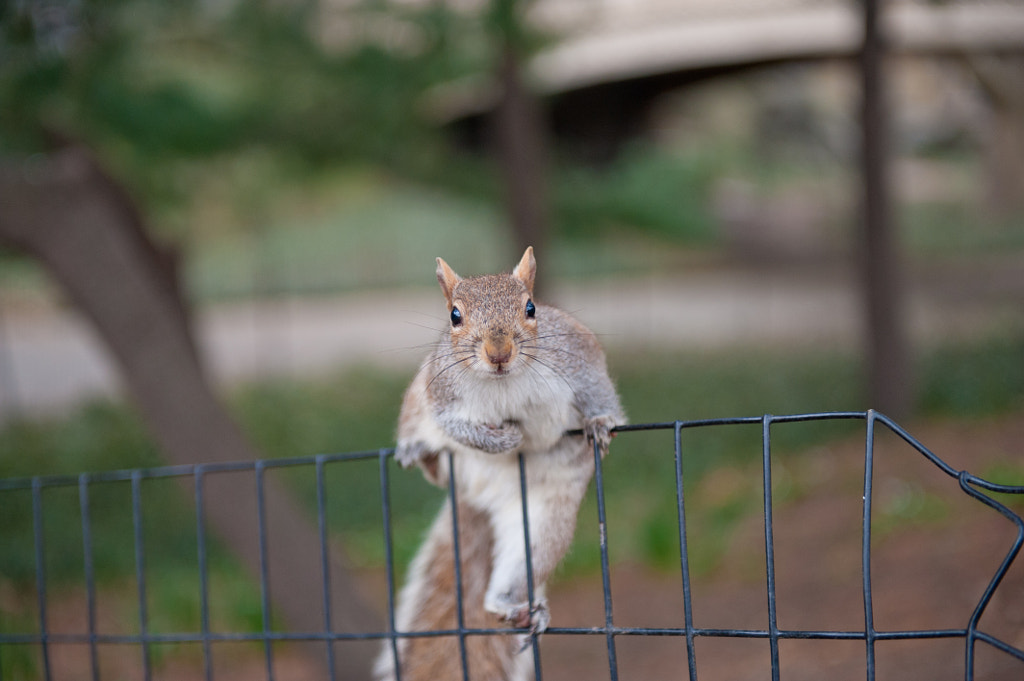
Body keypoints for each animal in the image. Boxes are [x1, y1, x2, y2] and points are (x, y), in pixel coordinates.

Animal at [378, 246, 622, 679]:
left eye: (531, 307)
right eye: (454, 315)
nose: (499, 353)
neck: (502, 382)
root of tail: (477, 498)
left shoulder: (580, 359)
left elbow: (599, 392)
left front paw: (599, 423)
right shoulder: (441, 395)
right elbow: (456, 428)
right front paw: (505, 439)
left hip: (541, 520)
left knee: (524, 564)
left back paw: (516, 607)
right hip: (419, 401)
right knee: (430, 453)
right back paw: (416, 451)